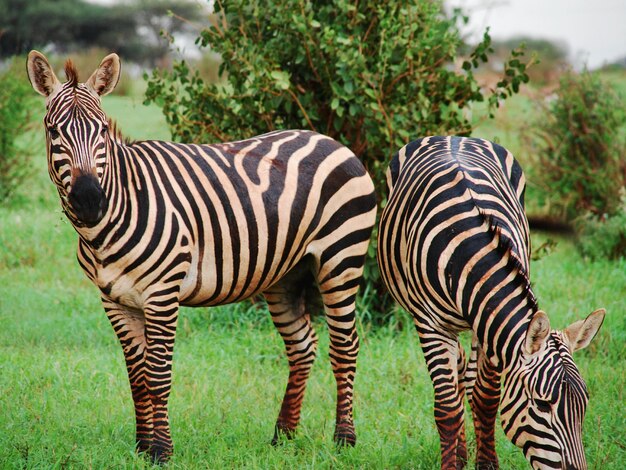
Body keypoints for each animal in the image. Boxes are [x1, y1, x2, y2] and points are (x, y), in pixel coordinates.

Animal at [25, 51, 376, 462]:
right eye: (53, 132)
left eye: (101, 132)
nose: (89, 200)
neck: (119, 209)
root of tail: (331, 140)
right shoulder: (114, 300)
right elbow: (137, 376)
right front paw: (142, 447)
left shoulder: (162, 294)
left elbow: (158, 375)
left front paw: (161, 450)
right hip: (286, 273)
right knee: (302, 346)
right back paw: (284, 435)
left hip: (341, 258)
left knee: (345, 345)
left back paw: (344, 439)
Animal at [376, 134, 604, 468]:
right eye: (542, 404)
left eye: (584, 403)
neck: (469, 255)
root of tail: (452, 136)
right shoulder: (431, 324)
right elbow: (446, 408)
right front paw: (452, 463)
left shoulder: (489, 324)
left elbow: (485, 399)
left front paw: (485, 463)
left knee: (466, 377)